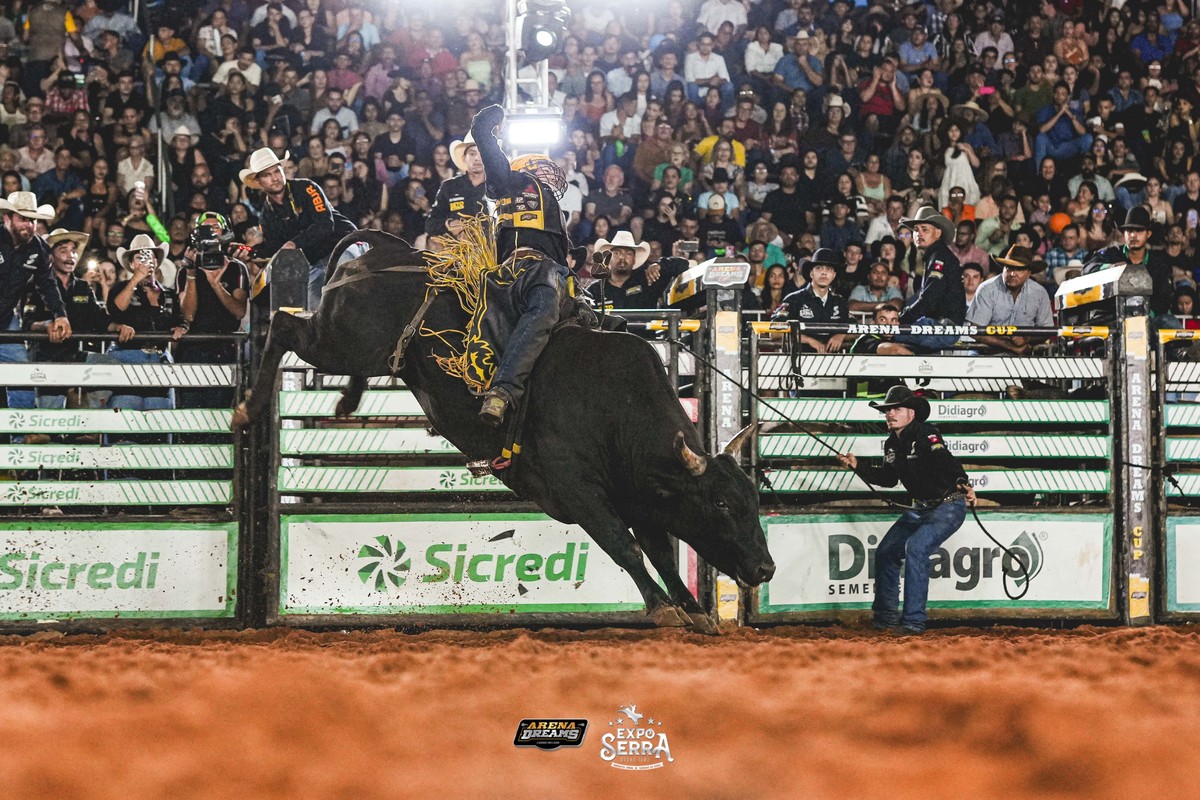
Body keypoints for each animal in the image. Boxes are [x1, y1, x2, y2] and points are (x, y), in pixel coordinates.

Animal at [234, 231, 775, 632]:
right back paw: (246, 409)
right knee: (283, 324)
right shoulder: (577, 491)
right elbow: (625, 546)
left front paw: (696, 611)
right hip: (342, 338)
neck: (614, 407)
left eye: (752, 499)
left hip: (360, 349)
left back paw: (347, 399)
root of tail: (388, 250)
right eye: (721, 503)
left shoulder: (638, 494)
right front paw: (663, 608)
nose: (765, 569)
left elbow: (661, 550)